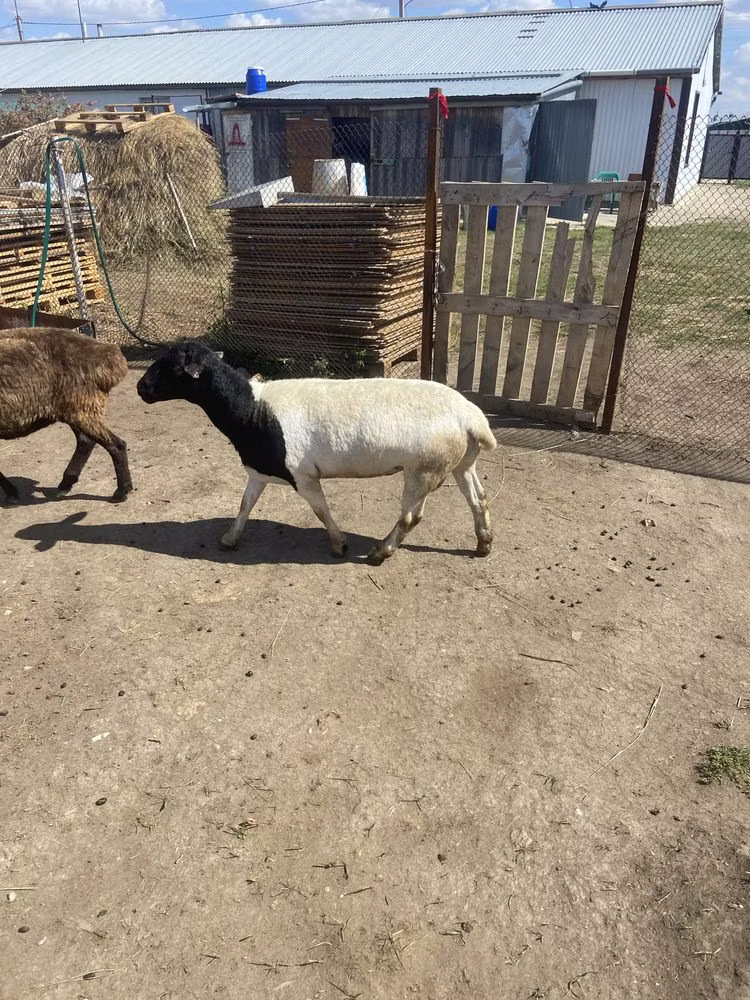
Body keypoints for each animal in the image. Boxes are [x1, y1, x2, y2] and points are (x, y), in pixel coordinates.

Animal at [0, 325, 133, 504]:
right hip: (75, 408)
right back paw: (66, 483)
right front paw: (11, 492)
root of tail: (108, 353)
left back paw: (121, 491)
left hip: (82, 406)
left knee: (115, 444)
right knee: (86, 442)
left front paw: (12, 493)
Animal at [137, 340, 497, 564]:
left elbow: (321, 510)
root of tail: (471, 417)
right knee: (478, 500)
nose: (141, 388)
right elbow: (244, 505)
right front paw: (229, 540)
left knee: (411, 516)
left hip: (424, 469)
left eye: (171, 367)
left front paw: (339, 544)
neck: (253, 409)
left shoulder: (303, 475)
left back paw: (380, 553)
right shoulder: (260, 470)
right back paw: (484, 544)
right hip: (460, 462)